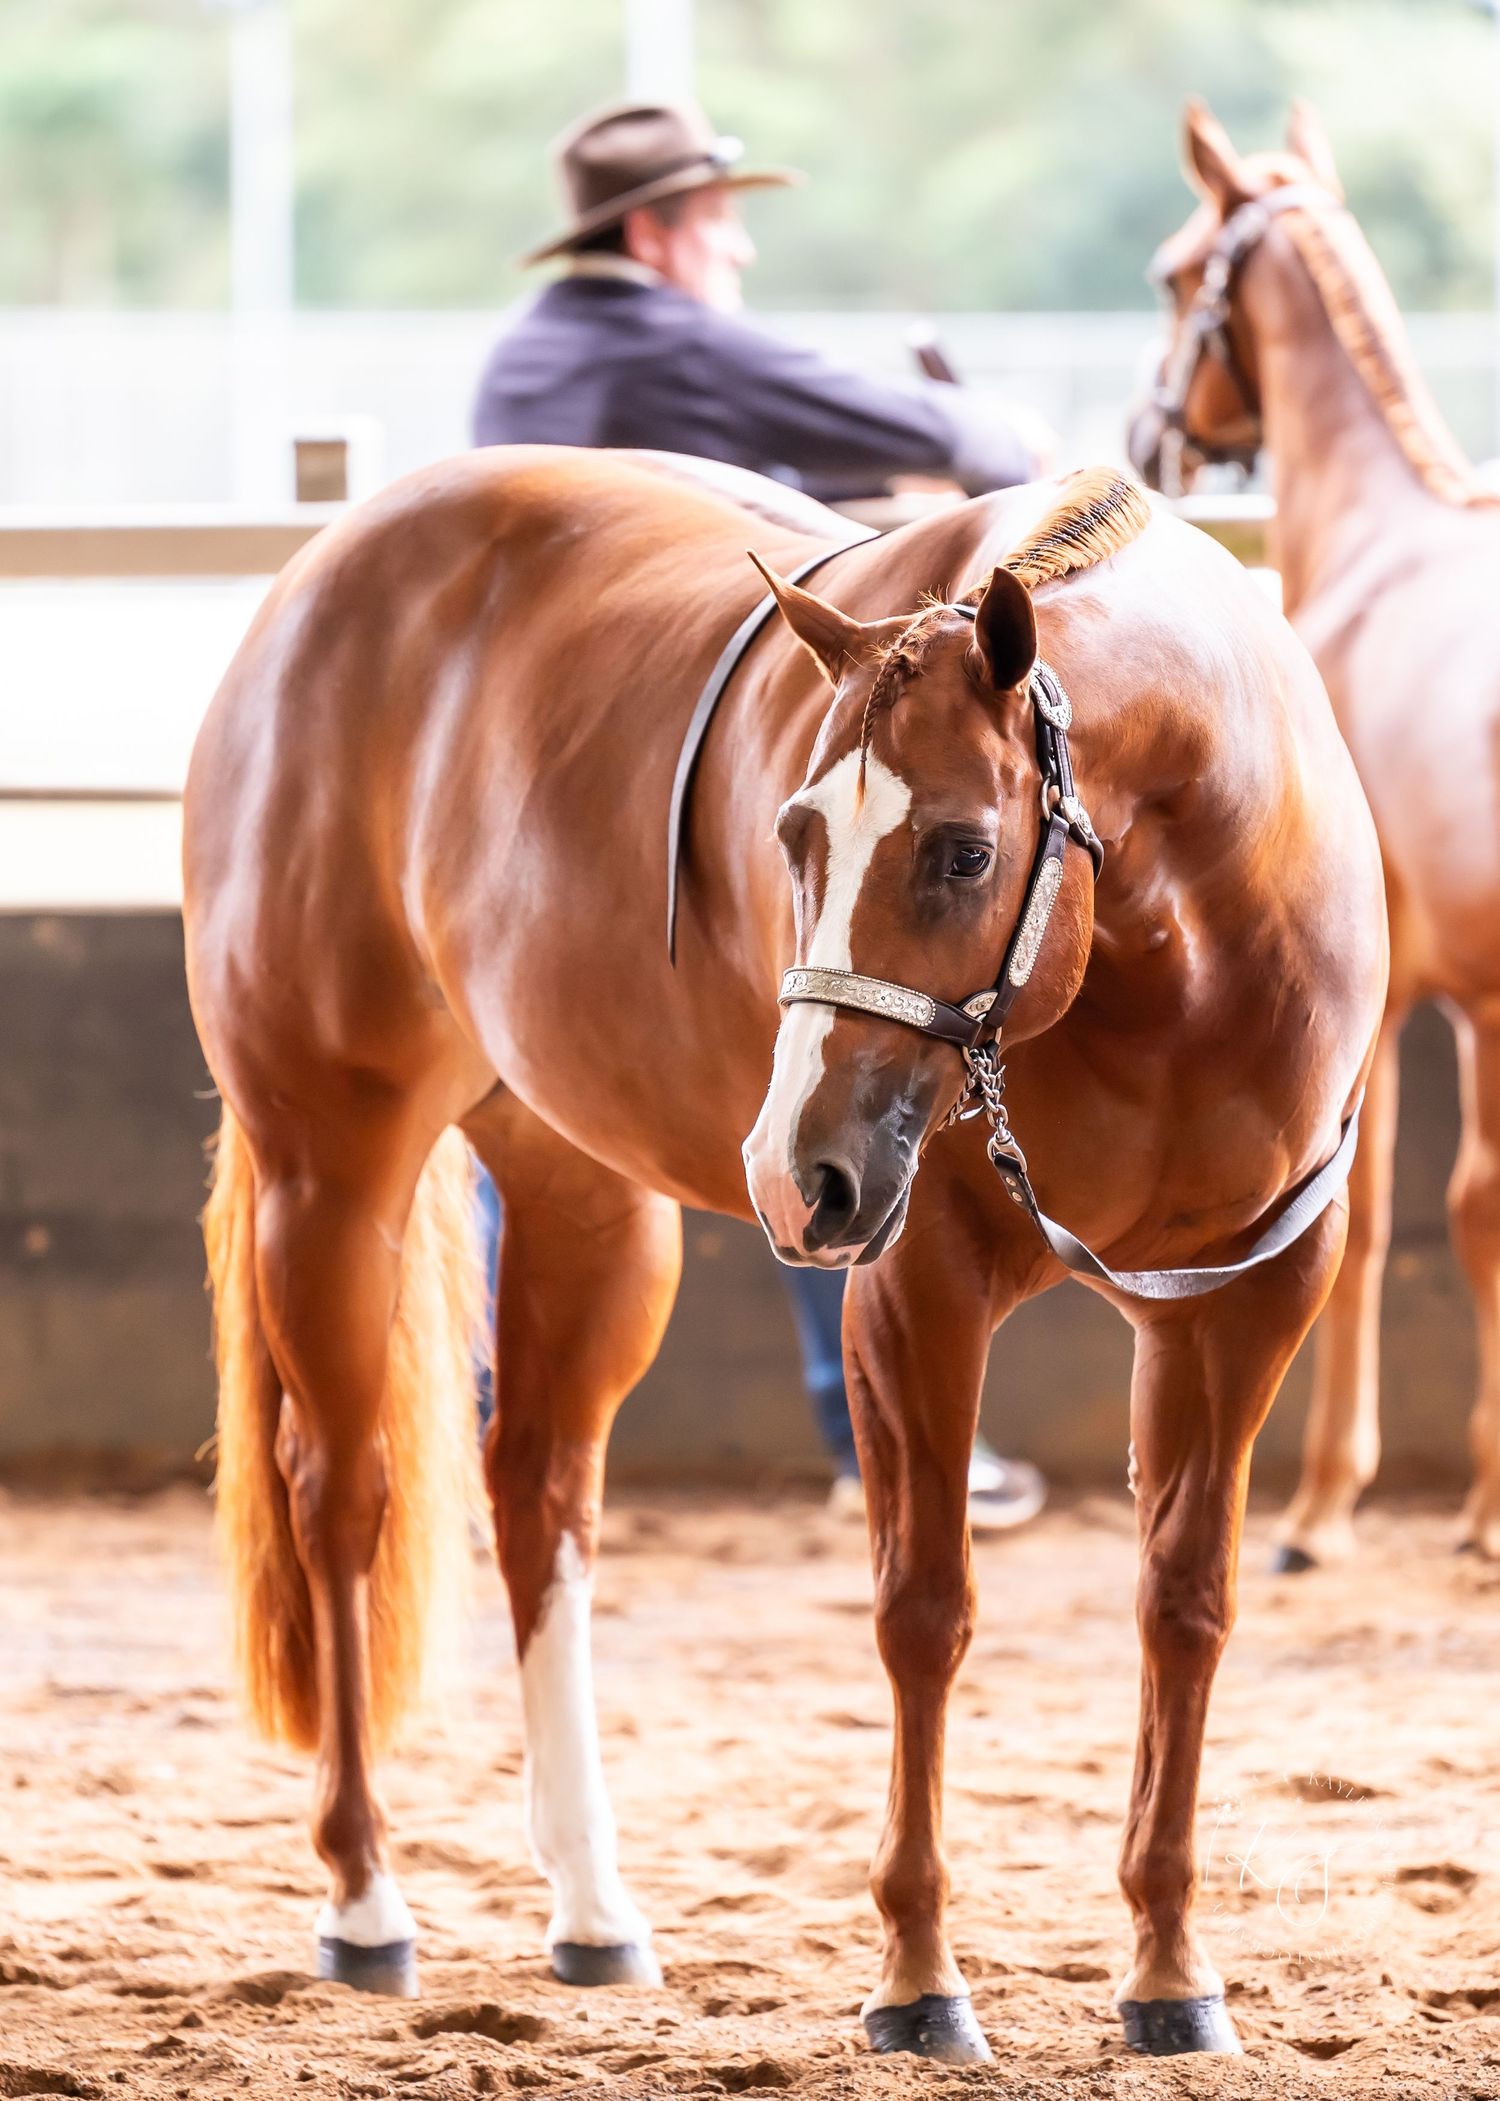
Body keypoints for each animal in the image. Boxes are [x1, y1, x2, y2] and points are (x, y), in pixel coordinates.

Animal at [183, 445, 1384, 2061]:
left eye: (965, 850)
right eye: (795, 837)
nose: (790, 1170)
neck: (1182, 947)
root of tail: (320, 575)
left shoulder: (1243, 1299)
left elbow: (1184, 1606)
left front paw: (1170, 1974)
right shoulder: (917, 1290)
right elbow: (923, 1610)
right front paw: (918, 1979)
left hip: (588, 1200)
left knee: (539, 1495)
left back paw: (592, 1909)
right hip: (330, 1176)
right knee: (342, 1498)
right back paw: (366, 1900)